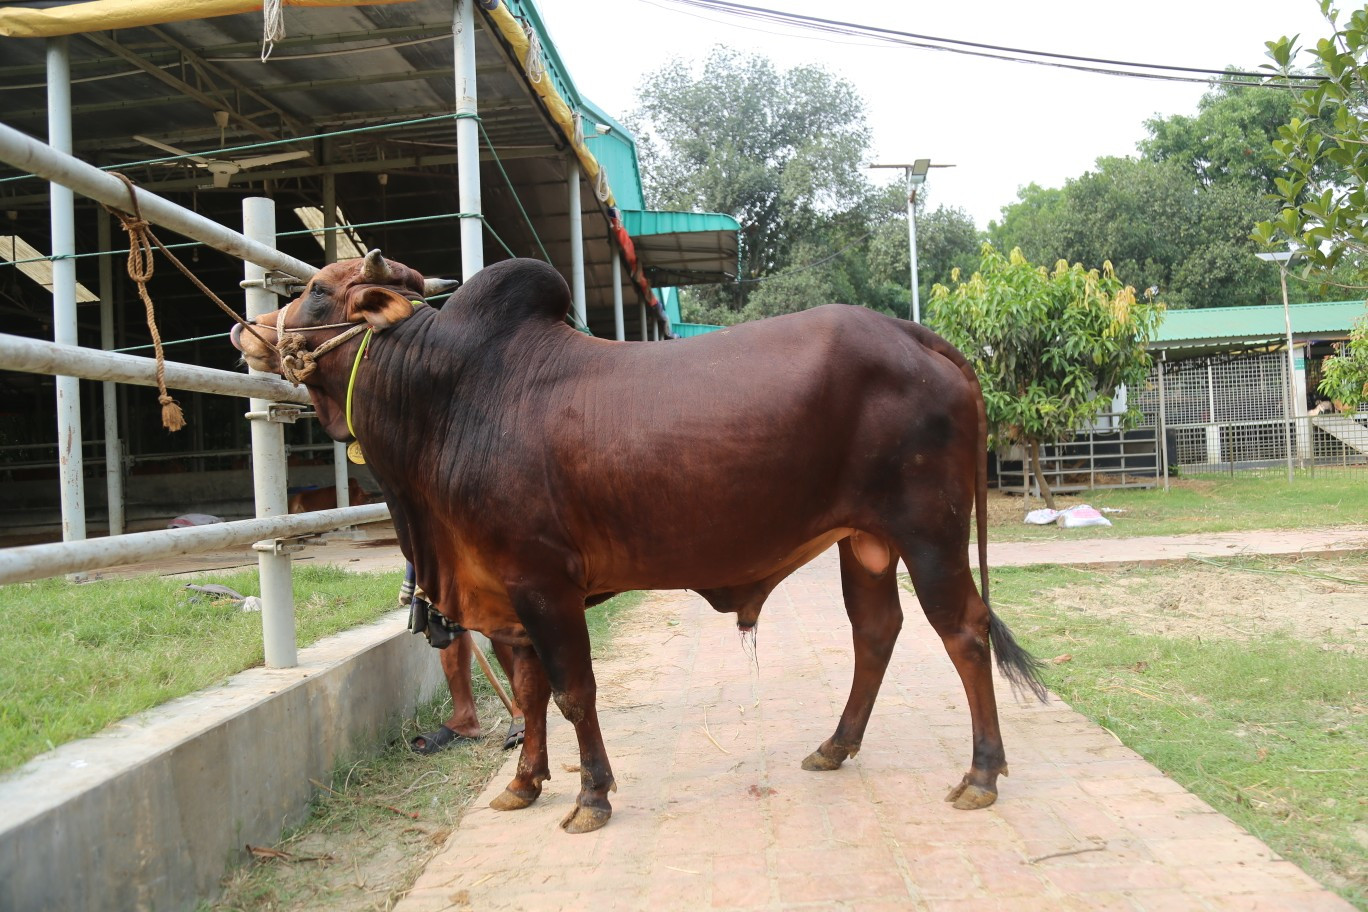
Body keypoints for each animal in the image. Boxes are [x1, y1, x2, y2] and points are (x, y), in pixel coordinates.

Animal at [230, 250, 1047, 834]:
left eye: (315, 292)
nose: (247, 329)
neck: (446, 398)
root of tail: (919, 335)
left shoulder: (543, 583)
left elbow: (573, 691)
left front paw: (591, 796)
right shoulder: (504, 595)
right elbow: (530, 693)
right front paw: (524, 784)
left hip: (928, 533)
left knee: (964, 633)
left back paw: (981, 775)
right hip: (865, 542)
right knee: (876, 631)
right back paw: (834, 746)